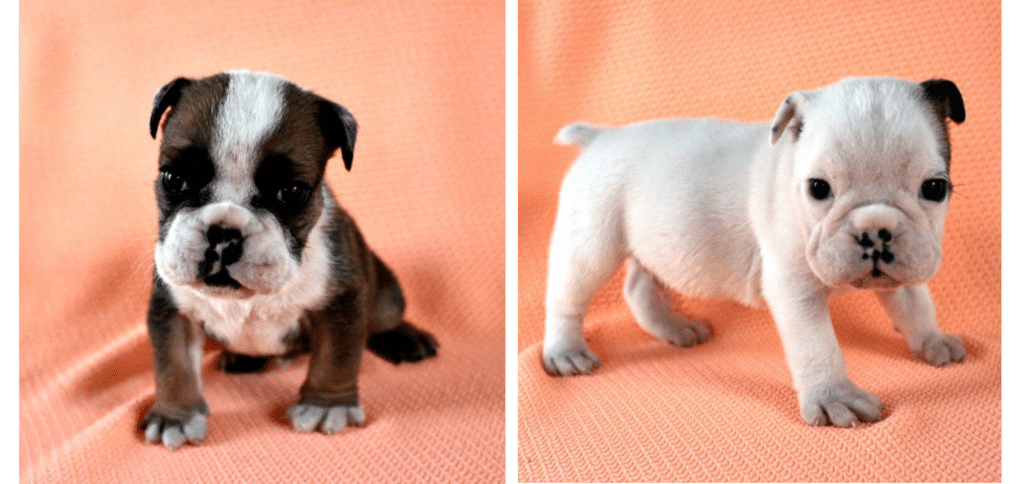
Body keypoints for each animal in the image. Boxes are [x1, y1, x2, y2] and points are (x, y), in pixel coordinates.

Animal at [548, 76, 962, 425]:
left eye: (935, 188)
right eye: (818, 188)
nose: (875, 231)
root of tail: (600, 137)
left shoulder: (911, 261)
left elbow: (916, 305)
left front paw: (933, 341)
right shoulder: (794, 291)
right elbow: (817, 347)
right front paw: (833, 396)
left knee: (639, 286)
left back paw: (674, 327)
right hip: (592, 239)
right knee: (569, 294)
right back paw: (565, 351)